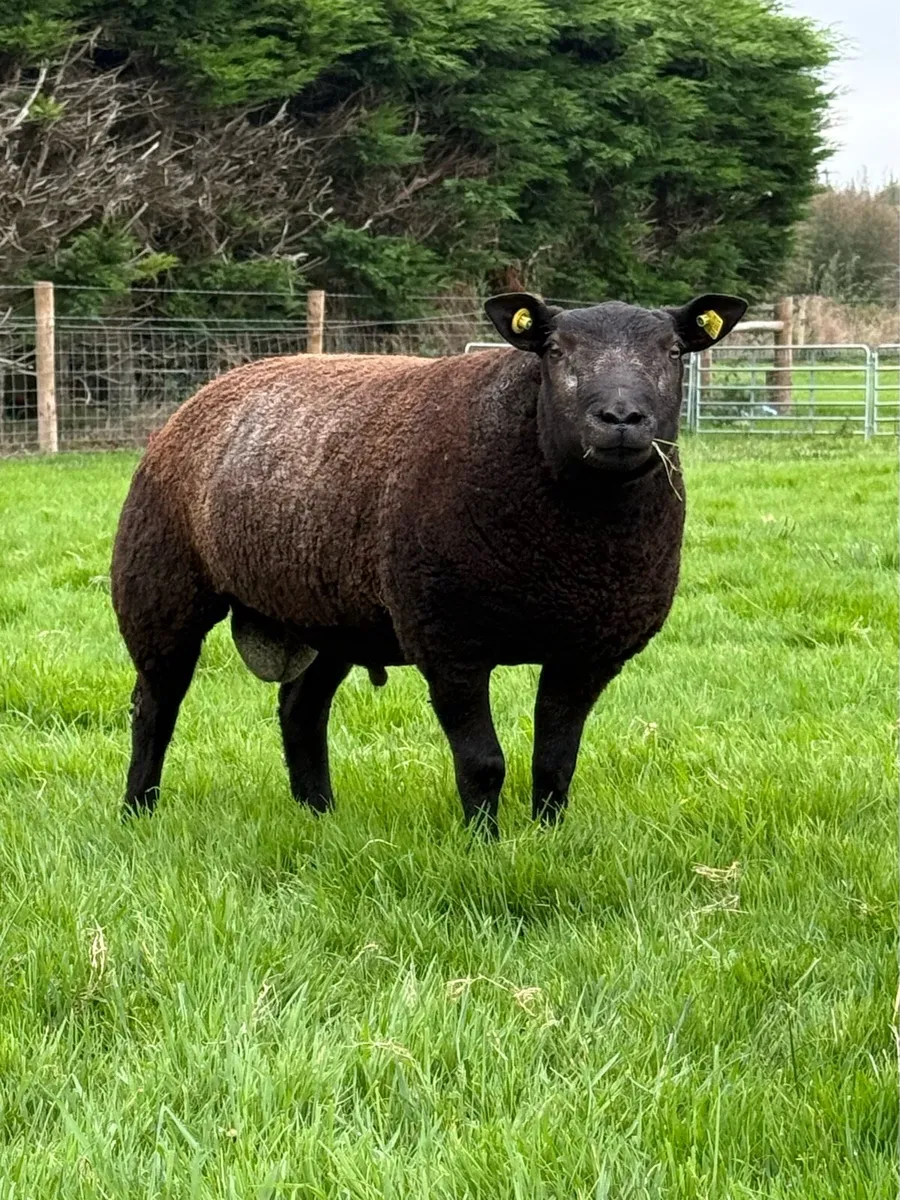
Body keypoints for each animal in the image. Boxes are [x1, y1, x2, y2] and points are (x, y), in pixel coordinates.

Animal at [111, 290, 746, 834]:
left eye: (673, 352)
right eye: (555, 351)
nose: (620, 419)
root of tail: (216, 386)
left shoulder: (587, 652)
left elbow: (555, 762)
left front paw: (549, 838)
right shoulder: (449, 642)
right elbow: (484, 763)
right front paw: (484, 845)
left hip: (331, 616)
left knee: (300, 708)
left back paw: (319, 812)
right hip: (159, 589)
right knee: (155, 707)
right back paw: (138, 810)